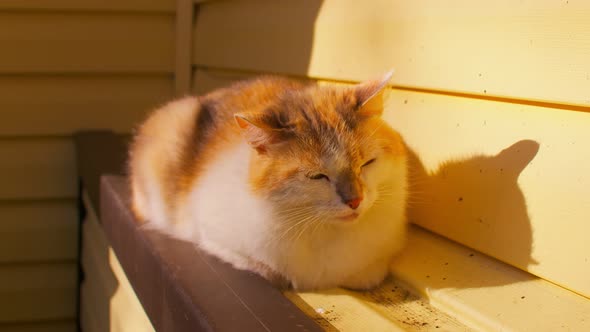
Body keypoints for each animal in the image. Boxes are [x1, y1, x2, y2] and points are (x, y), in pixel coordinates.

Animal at [130, 71, 410, 290]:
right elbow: (270, 271)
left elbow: (370, 275)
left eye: (367, 163)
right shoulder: (211, 235)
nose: (355, 200)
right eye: (317, 176)